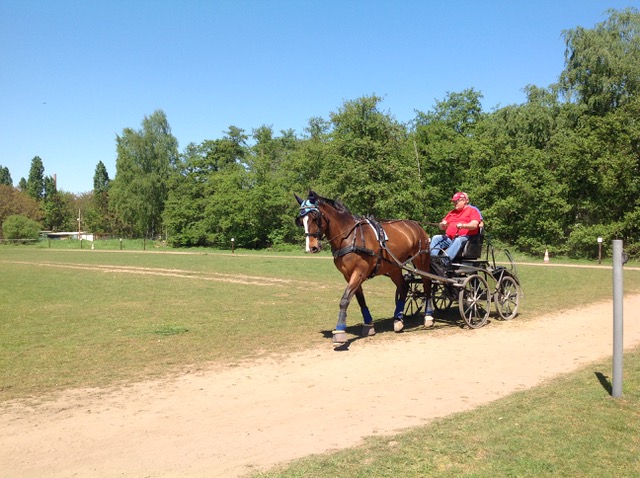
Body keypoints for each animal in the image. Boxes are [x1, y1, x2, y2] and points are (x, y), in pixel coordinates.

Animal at [298, 190, 432, 344]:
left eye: (315, 217)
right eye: (301, 220)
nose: (311, 247)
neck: (349, 237)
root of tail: (417, 226)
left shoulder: (359, 273)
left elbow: (345, 300)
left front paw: (340, 331)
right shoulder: (349, 275)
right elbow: (360, 299)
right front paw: (368, 325)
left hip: (421, 262)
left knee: (427, 284)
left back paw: (428, 316)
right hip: (394, 267)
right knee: (403, 287)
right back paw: (398, 319)